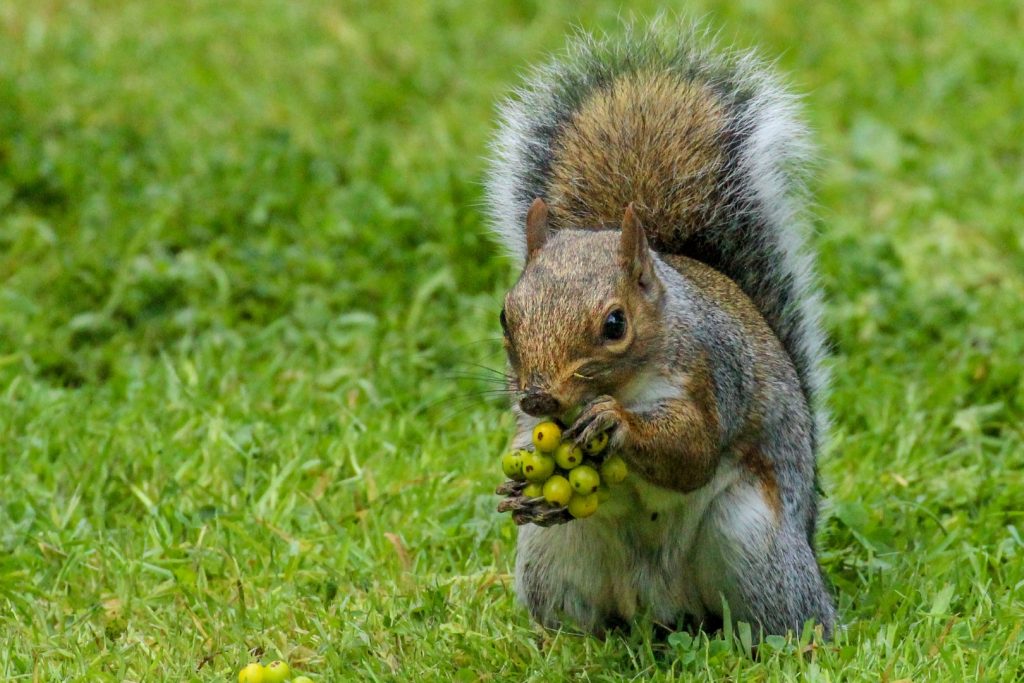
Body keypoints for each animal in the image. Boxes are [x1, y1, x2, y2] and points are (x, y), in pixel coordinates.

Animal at [485, 22, 831, 643]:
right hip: (554, 562)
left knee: (785, 617)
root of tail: (662, 611)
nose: (539, 397)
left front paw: (616, 423)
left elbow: (693, 452)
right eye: (507, 316)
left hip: (753, 543)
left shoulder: (712, 375)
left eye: (614, 324)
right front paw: (519, 484)